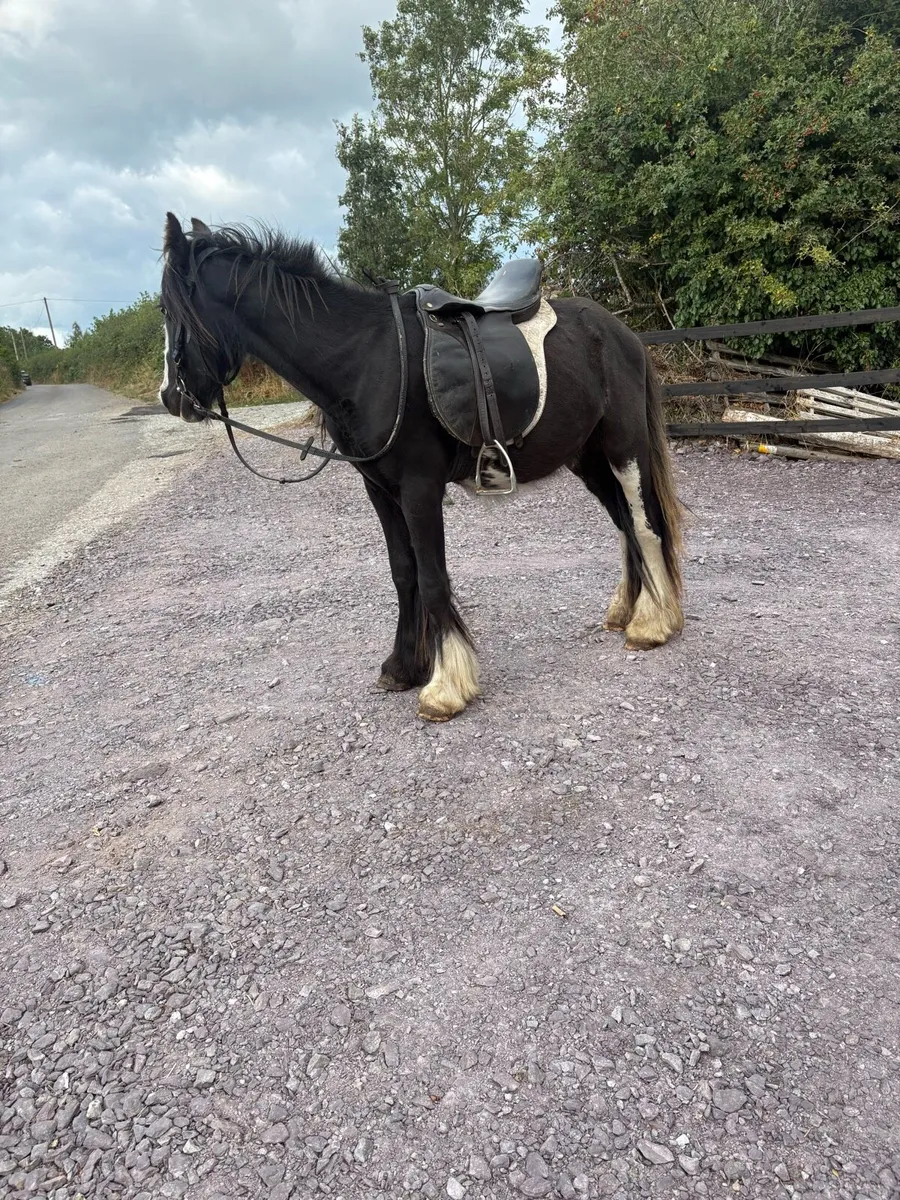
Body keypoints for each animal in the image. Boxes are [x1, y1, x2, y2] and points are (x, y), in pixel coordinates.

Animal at [157, 213, 685, 722]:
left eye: (166, 309)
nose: (170, 398)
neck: (367, 359)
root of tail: (621, 333)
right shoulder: (380, 490)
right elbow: (403, 572)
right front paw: (403, 666)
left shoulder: (419, 488)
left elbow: (433, 577)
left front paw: (445, 686)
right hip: (587, 458)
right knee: (624, 524)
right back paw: (628, 610)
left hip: (623, 448)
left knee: (644, 524)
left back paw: (653, 623)